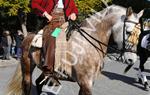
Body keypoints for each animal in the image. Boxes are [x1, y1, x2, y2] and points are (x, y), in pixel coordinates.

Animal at [6, 4, 143, 95]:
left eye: (140, 32)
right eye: (128, 31)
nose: (131, 60)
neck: (89, 44)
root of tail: (28, 36)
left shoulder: (87, 83)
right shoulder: (85, 83)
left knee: (39, 83)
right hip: (27, 67)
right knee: (27, 86)